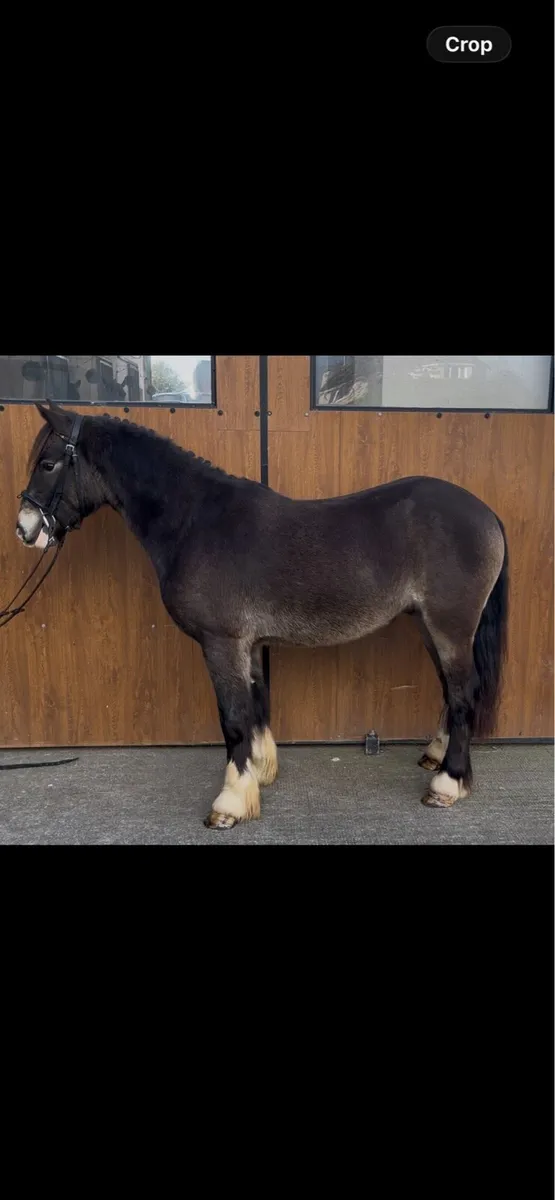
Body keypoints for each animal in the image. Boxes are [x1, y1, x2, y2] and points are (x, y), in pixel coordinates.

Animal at [17, 403, 509, 830]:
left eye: (47, 464)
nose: (26, 528)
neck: (195, 520)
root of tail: (485, 512)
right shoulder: (247, 646)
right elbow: (254, 707)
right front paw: (259, 773)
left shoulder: (222, 642)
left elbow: (233, 717)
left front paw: (230, 803)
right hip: (428, 625)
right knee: (450, 690)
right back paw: (437, 756)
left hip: (449, 627)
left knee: (463, 693)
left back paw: (447, 783)